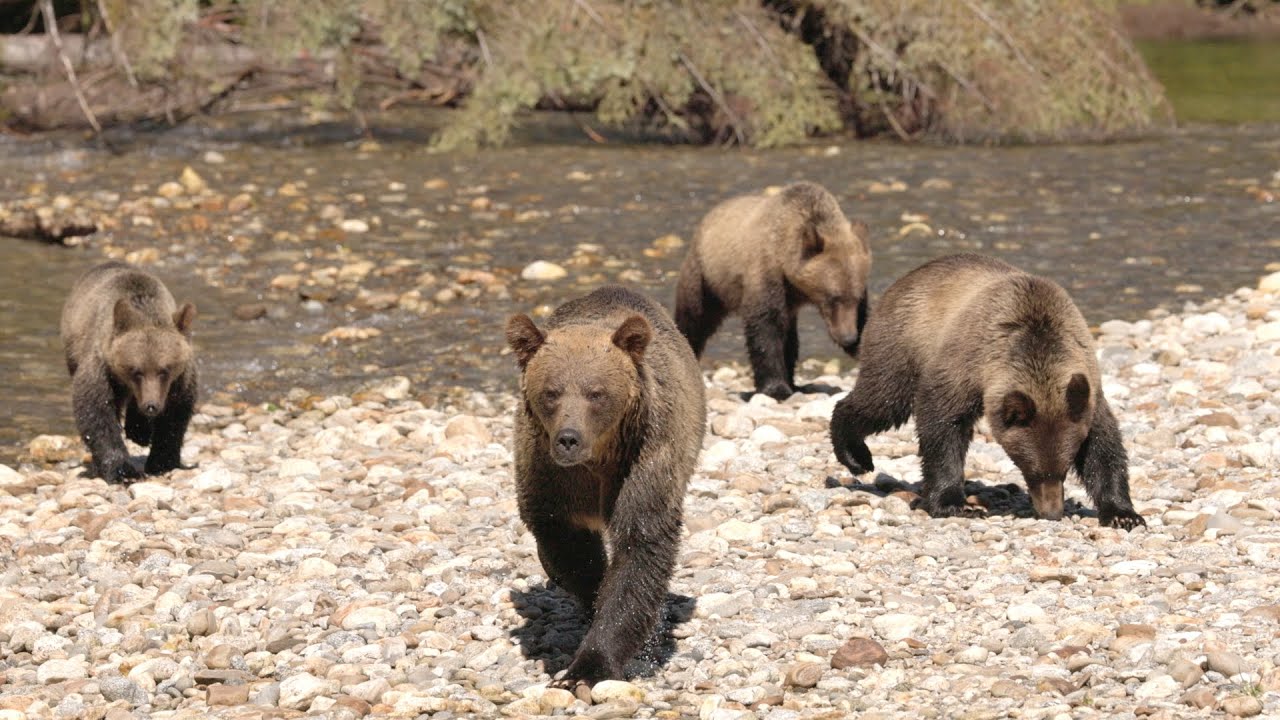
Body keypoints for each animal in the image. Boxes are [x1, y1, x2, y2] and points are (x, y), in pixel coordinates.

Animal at [60, 261, 198, 483]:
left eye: (165, 370)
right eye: (135, 370)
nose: (151, 406)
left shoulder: (180, 379)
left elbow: (176, 414)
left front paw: (162, 461)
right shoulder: (102, 367)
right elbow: (97, 413)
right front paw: (122, 470)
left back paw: (139, 431)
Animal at [505, 285, 706, 689]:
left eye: (595, 393)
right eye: (551, 392)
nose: (569, 438)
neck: (597, 460)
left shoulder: (642, 460)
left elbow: (639, 547)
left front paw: (589, 667)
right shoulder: (549, 475)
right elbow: (570, 548)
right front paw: (591, 598)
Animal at [674, 181, 871, 400]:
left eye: (856, 298)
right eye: (832, 298)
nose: (848, 337)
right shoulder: (766, 272)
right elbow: (765, 327)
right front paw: (776, 388)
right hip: (706, 277)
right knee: (694, 317)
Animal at [829, 254, 1144, 530]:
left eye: (1064, 469)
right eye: (1032, 471)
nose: (1051, 512)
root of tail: (906, 277)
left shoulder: (1085, 392)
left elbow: (1103, 446)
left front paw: (1123, 514)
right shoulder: (965, 364)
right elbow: (942, 425)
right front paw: (952, 503)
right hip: (902, 341)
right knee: (883, 399)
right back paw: (856, 456)